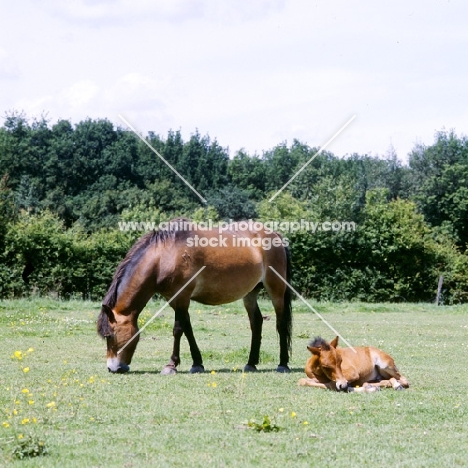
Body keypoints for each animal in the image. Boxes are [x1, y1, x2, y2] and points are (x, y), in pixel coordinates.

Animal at [97, 218, 290, 372]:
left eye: (110, 336)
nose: (112, 368)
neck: (165, 256)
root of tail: (275, 234)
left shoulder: (182, 296)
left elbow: (178, 329)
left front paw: (171, 365)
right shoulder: (174, 299)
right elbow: (187, 328)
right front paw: (197, 363)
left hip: (276, 289)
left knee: (281, 323)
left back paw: (283, 364)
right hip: (250, 294)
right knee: (256, 322)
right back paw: (251, 363)